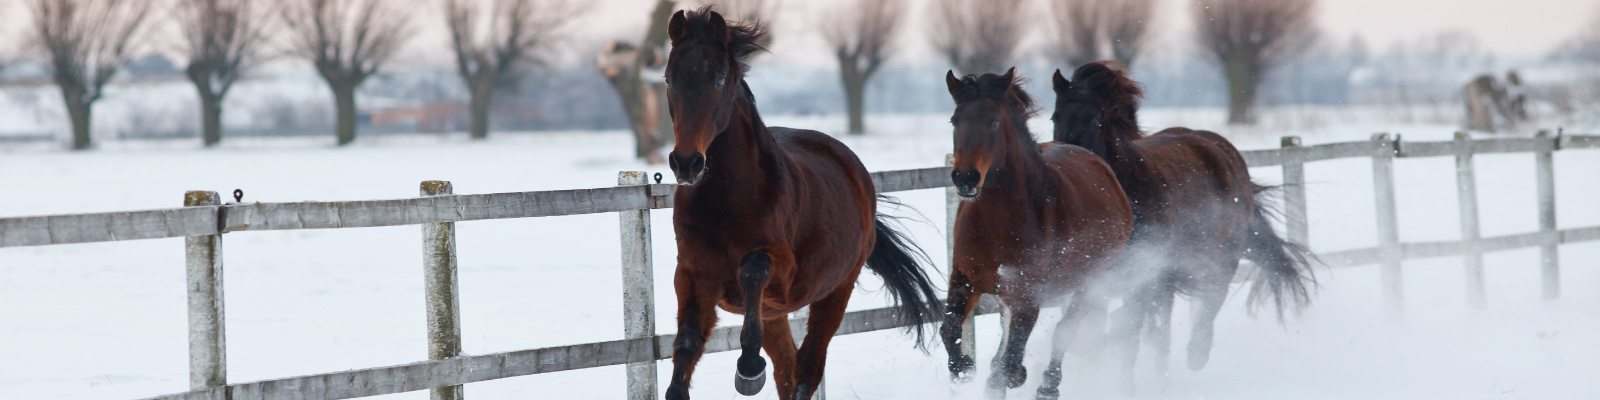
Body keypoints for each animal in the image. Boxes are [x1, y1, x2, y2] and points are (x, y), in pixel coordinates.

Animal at [660, 8, 943, 400]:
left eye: (717, 80)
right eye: (669, 78)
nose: (687, 163)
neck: (724, 204)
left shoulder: (784, 276)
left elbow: (752, 269)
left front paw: (749, 369)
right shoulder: (693, 275)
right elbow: (686, 347)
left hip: (835, 292)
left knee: (807, 367)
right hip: (778, 312)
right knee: (787, 367)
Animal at [940, 68, 1135, 399]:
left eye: (994, 122)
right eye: (955, 120)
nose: (965, 177)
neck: (998, 223)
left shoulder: (1028, 295)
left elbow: (1011, 360)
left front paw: (1011, 375)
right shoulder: (964, 278)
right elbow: (950, 329)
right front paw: (964, 367)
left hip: (1091, 281)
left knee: (1064, 331)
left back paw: (1047, 385)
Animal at [1047, 61, 1315, 393]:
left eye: (1096, 119)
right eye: (1055, 116)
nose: (1071, 165)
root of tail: (1218, 145)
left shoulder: (1142, 279)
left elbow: (1127, 338)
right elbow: (1095, 337)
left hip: (1220, 257)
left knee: (1210, 300)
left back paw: (1196, 353)